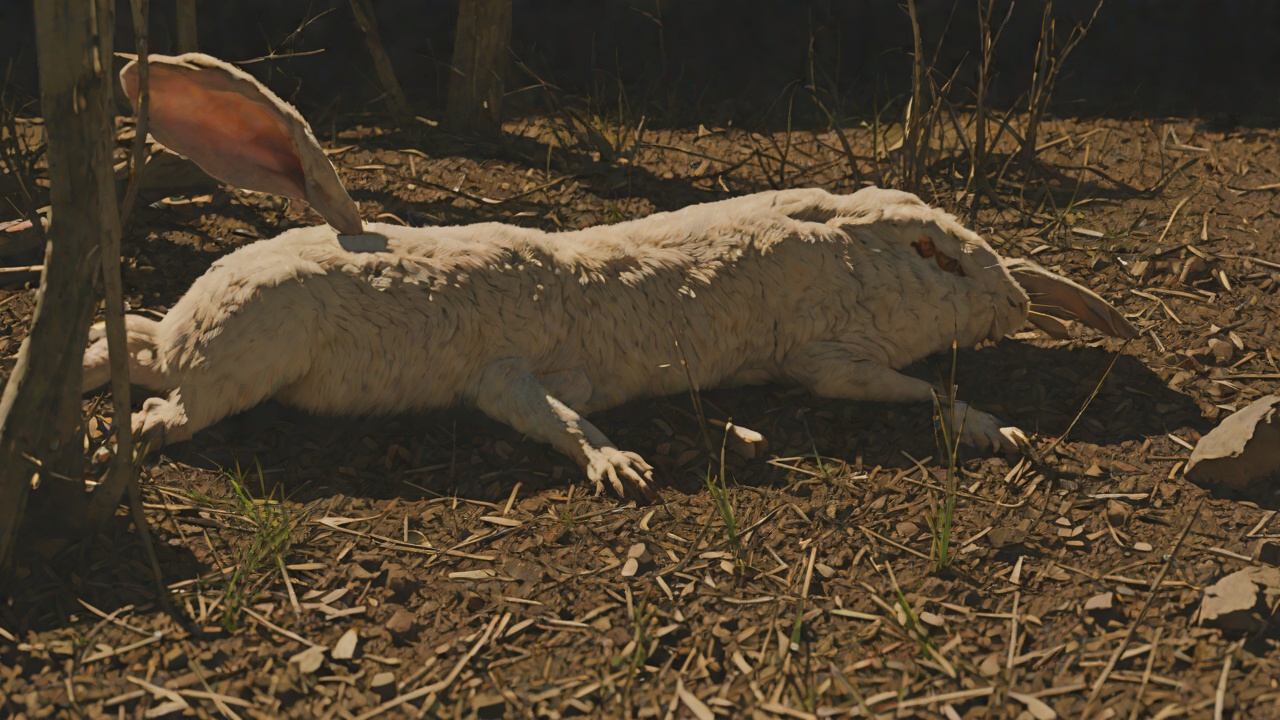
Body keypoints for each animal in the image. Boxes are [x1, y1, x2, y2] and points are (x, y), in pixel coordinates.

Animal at [84, 53, 1139, 499]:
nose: (1014, 299)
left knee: (125, 340)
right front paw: (622, 468)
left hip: (205, 346)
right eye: (932, 254)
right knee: (171, 400)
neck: (831, 253)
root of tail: (195, 323)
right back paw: (117, 437)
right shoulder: (824, 360)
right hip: (241, 363)